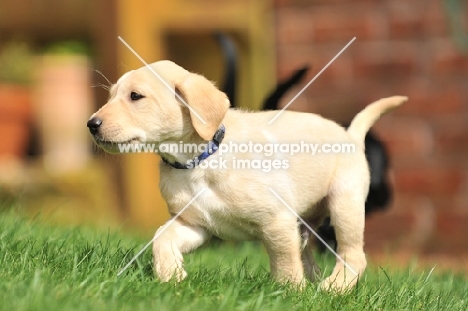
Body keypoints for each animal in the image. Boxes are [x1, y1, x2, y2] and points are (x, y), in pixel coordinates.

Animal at [87, 61, 406, 292]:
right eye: (111, 96)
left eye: (135, 96)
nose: (91, 124)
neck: (199, 163)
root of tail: (350, 135)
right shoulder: (194, 224)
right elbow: (161, 237)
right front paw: (171, 276)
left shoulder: (277, 221)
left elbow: (283, 262)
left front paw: (289, 293)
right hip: (305, 223)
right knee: (307, 255)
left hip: (345, 205)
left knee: (353, 255)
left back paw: (334, 288)